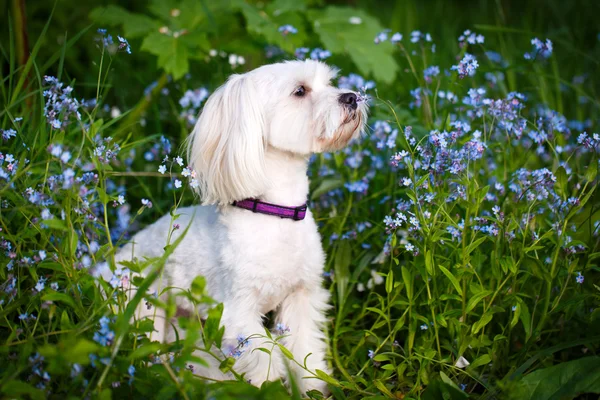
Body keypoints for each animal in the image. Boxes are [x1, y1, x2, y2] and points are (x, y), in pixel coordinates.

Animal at [112, 59, 366, 394]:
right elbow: (264, 361)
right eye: (300, 91)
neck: (276, 215)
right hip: (144, 307)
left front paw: (311, 388)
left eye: (329, 84)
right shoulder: (237, 313)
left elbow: (304, 349)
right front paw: (269, 390)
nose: (351, 97)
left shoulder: (300, 297)